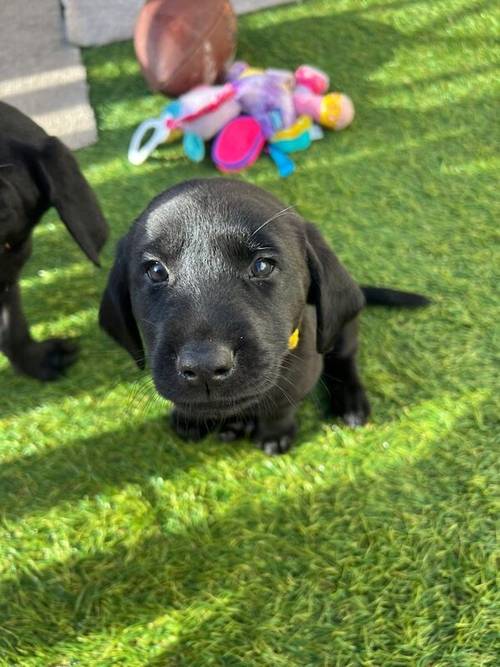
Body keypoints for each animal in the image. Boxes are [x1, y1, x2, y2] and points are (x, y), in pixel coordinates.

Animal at [99, 179, 428, 454]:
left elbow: (279, 406)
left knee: (344, 360)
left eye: (262, 266)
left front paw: (274, 435)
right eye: (156, 270)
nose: (204, 366)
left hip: (342, 329)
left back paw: (350, 402)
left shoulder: (300, 376)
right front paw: (189, 419)